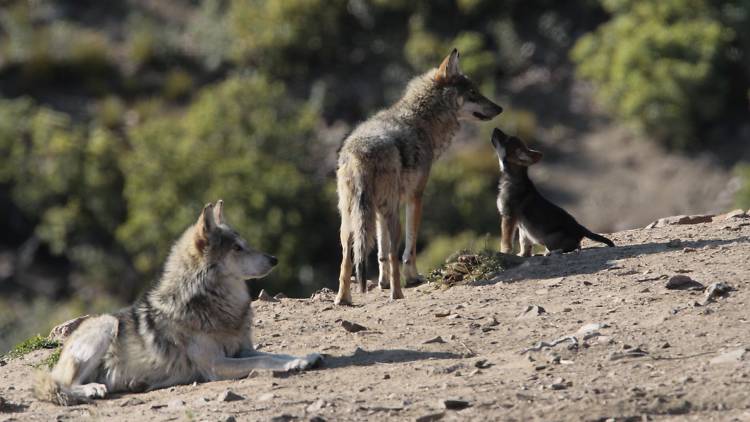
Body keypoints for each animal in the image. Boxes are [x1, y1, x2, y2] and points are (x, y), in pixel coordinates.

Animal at [34, 201, 324, 406]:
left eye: (245, 244)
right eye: (237, 248)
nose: (274, 259)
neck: (214, 304)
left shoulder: (242, 350)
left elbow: (274, 354)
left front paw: (304, 357)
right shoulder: (216, 365)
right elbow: (265, 361)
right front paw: (295, 364)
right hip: (105, 325)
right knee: (56, 386)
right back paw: (92, 389)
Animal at [336, 49, 502, 304]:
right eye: (473, 93)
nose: (499, 108)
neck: (421, 121)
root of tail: (359, 153)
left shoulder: (378, 212)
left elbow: (380, 253)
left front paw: (382, 283)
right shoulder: (416, 197)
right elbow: (409, 249)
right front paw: (412, 278)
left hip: (350, 221)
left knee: (347, 261)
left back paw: (343, 299)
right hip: (391, 213)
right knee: (393, 254)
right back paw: (397, 294)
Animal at [494, 127, 616, 256]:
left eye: (505, 140)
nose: (495, 129)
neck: (512, 177)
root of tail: (580, 228)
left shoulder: (508, 217)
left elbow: (506, 240)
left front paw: (504, 251)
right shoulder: (522, 226)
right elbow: (524, 242)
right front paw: (523, 254)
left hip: (551, 238)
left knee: (572, 247)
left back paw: (552, 252)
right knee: (576, 246)